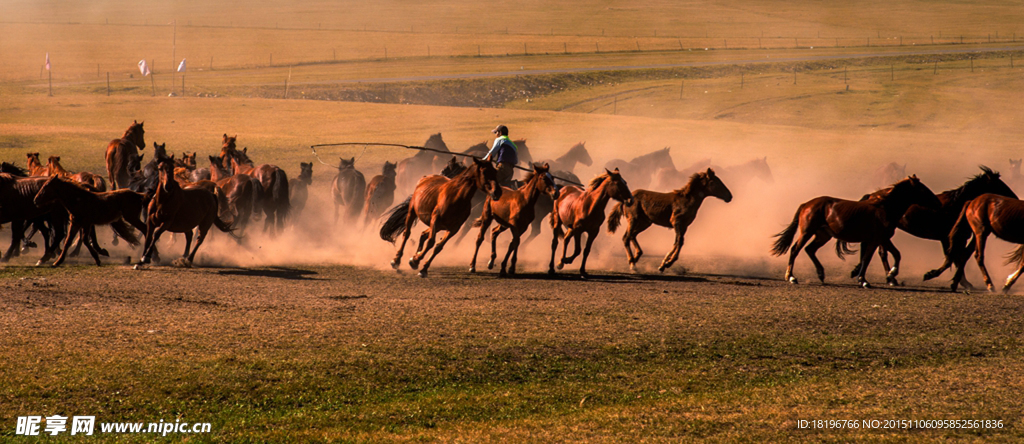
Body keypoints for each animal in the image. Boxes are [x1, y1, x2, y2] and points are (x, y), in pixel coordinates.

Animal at [770, 175, 937, 288]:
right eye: (922, 189)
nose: (937, 202)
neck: (884, 208)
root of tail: (807, 204)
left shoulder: (882, 239)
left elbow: (893, 254)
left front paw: (889, 274)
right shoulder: (877, 239)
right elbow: (868, 258)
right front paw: (866, 280)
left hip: (823, 235)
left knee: (810, 249)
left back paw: (821, 273)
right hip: (807, 232)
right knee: (795, 249)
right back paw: (791, 277)